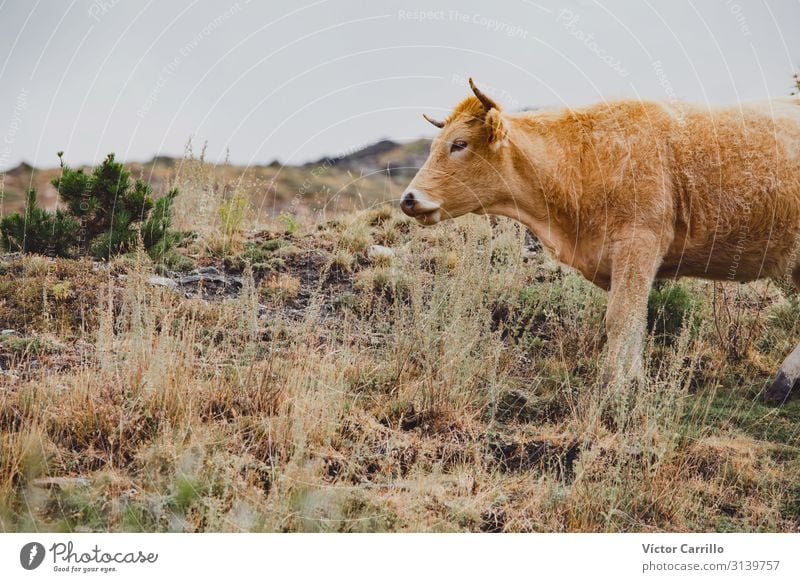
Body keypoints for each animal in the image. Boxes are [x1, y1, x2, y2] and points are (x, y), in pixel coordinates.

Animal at [404, 78, 800, 402]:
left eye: (459, 144)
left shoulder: (639, 244)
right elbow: (636, 321)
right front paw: (633, 382)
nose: (408, 198)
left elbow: (621, 318)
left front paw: (612, 386)